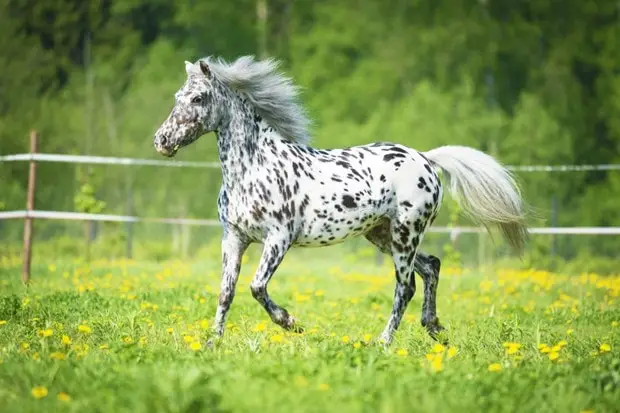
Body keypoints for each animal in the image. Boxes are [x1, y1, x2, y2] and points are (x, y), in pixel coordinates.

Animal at [154, 54, 528, 344]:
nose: (162, 141)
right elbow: (226, 292)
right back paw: (434, 328)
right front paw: (212, 343)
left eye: (198, 99)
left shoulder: (279, 238)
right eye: (177, 96)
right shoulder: (234, 237)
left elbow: (256, 287)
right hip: (381, 234)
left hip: (405, 234)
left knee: (405, 287)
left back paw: (383, 342)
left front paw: (292, 323)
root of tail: (425, 159)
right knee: (431, 267)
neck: (254, 167)